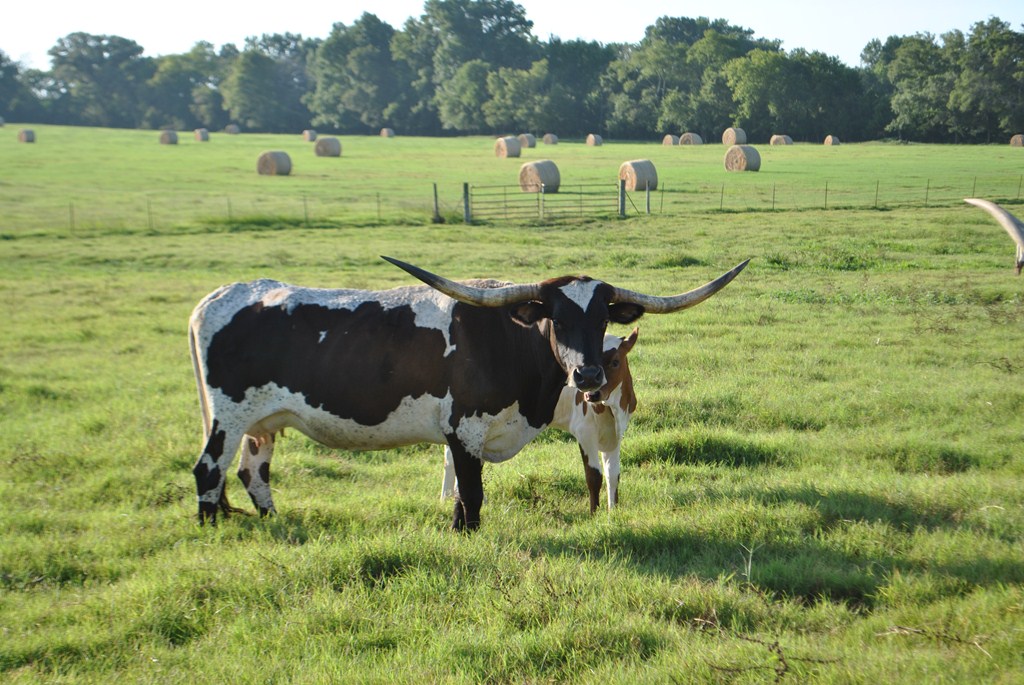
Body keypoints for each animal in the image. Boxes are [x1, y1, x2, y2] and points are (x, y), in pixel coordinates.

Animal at [441, 328, 638, 513]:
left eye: (615, 362)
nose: (592, 394)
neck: (613, 409)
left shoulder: (615, 435)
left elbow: (613, 474)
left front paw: (612, 512)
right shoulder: (585, 432)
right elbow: (594, 476)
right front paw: (594, 514)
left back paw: (447, 498)